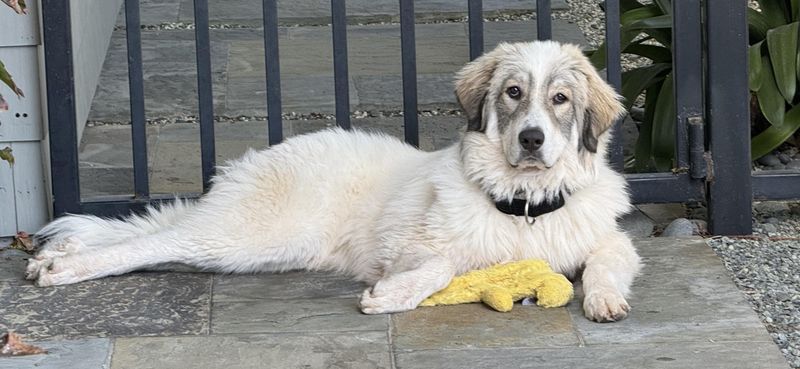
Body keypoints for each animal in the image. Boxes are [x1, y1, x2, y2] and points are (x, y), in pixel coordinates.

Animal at [26, 41, 644, 320]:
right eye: (514, 93)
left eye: (559, 100)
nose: (533, 140)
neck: (524, 205)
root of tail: (274, 149)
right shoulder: (409, 245)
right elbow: (443, 265)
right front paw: (393, 295)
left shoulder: (612, 239)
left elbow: (608, 260)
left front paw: (604, 299)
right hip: (248, 235)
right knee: (154, 243)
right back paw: (64, 268)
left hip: (262, 251)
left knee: (158, 239)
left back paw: (56, 254)